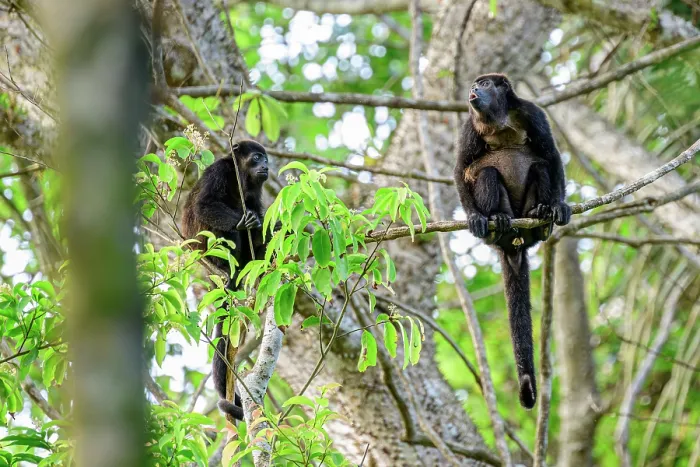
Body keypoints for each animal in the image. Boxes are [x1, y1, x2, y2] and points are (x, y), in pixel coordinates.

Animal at [182, 140, 271, 421]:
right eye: (257, 157)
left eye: (266, 159)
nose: (267, 165)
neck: (240, 176)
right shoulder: (219, 171)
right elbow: (204, 205)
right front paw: (247, 222)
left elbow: (259, 214)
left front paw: (265, 228)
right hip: (206, 244)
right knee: (227, 228)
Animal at [453, 73, 571, 409]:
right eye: (476, 83)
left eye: (485, 84)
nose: (473, 88)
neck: (500, 119)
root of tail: (513, 245)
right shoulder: (468, 127)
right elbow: (461, 167)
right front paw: (474, 218)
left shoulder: (533, 113)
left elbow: (551, 156)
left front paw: (559, 206)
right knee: (489, 173)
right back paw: (498, 221)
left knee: (541, 167)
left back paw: (541, 215)